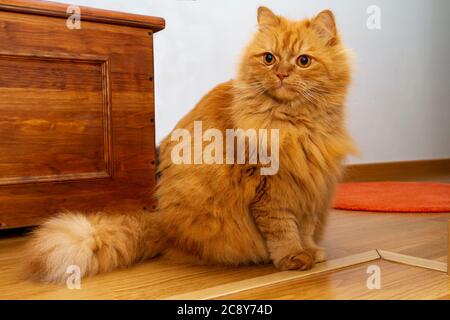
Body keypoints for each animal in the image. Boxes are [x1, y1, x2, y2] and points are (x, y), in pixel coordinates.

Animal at [23, 6, 356, 282]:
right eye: (269, 58)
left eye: (303, 61)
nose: (282, 74)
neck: (297, 126)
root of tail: (159, 221)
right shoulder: (272, 192)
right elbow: (284, 232)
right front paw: (294, 258)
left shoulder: (313, 188)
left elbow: (307, 229)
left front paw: (312, 253)